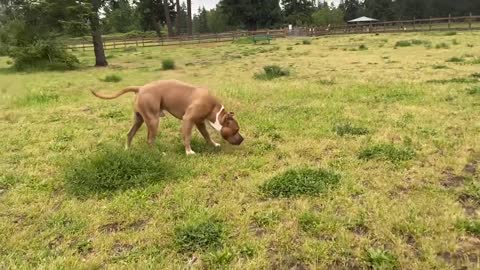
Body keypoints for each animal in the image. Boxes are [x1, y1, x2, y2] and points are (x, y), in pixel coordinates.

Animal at [91, 79, 244, 155]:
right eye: (236, 130)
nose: (242, 139)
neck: (214, 110)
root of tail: (140, 88)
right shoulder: (188, 120)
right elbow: (187, 137)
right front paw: (189, 152)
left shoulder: (199, 122)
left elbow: (206, 135)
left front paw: (213, 144)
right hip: (153, 120)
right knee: (149, 140)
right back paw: (159, 154)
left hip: (139, 119)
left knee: (130, 134)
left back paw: (127, 150)